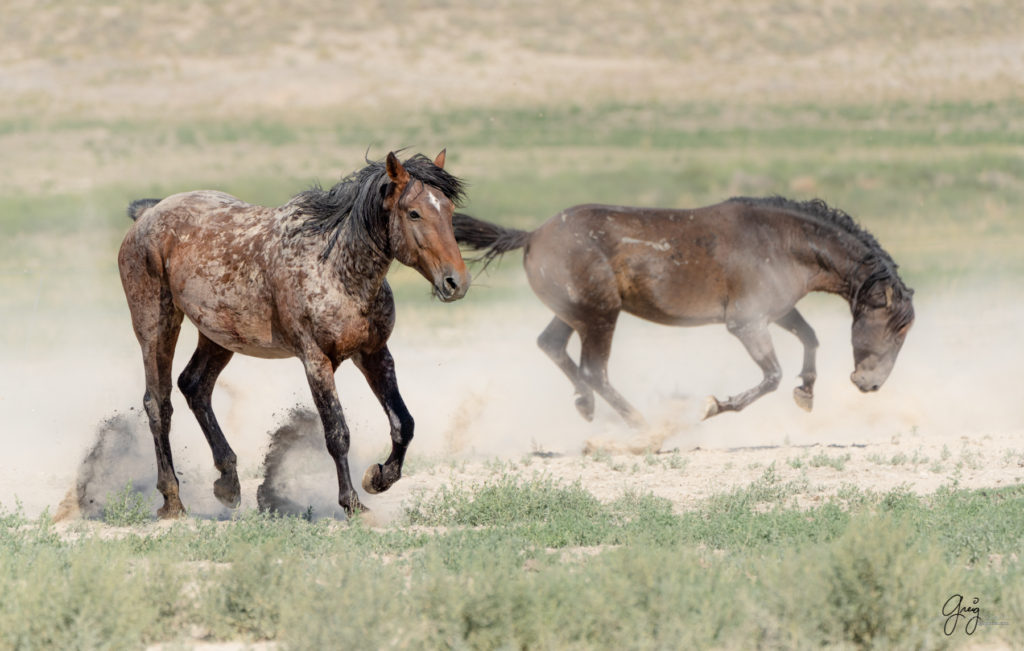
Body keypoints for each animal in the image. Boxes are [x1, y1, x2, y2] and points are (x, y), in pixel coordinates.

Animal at [117, 150, 468, 515]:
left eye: (448, 209)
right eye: (413, 212)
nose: (456, 282)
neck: (335, 269)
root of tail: (148, 213)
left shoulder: (375, 354)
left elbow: (403, 423)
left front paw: (378, 478)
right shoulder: (316, 361)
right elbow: (337, 433)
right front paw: (351, 503)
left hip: (218, 336)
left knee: (195, 386)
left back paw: (228, 483)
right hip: (156, 325)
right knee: (158, 403)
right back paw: (172, 499)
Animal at [452, 195, 917, 423]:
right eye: (898, 329)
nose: (870, 383)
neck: (781, 242)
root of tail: (532, 236)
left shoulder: (777, 312)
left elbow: (810, 338)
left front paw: (806, 393)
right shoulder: (747, 322)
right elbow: (771, 376)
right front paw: (714, 406)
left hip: (577, 312)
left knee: (551, 345)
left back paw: (586, 406)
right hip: (601, 316)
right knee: (594, 371)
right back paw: (639, 423)